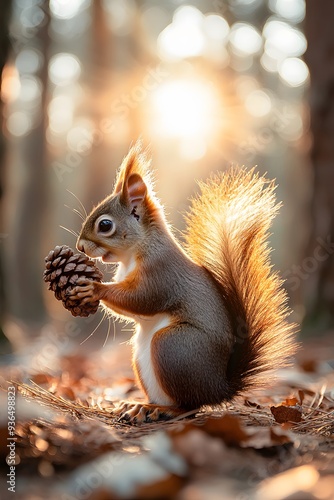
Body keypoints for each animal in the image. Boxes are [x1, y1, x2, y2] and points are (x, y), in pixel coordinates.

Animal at [68, 143, 298, 424]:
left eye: (105, 225)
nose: (80, 247)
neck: (136, 252)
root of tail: (218, 388)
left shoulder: (162, 273)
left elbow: (141, 299)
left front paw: (94, 288)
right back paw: (138, 405)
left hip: (173, 346)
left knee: (190, 405)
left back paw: (162, 410)